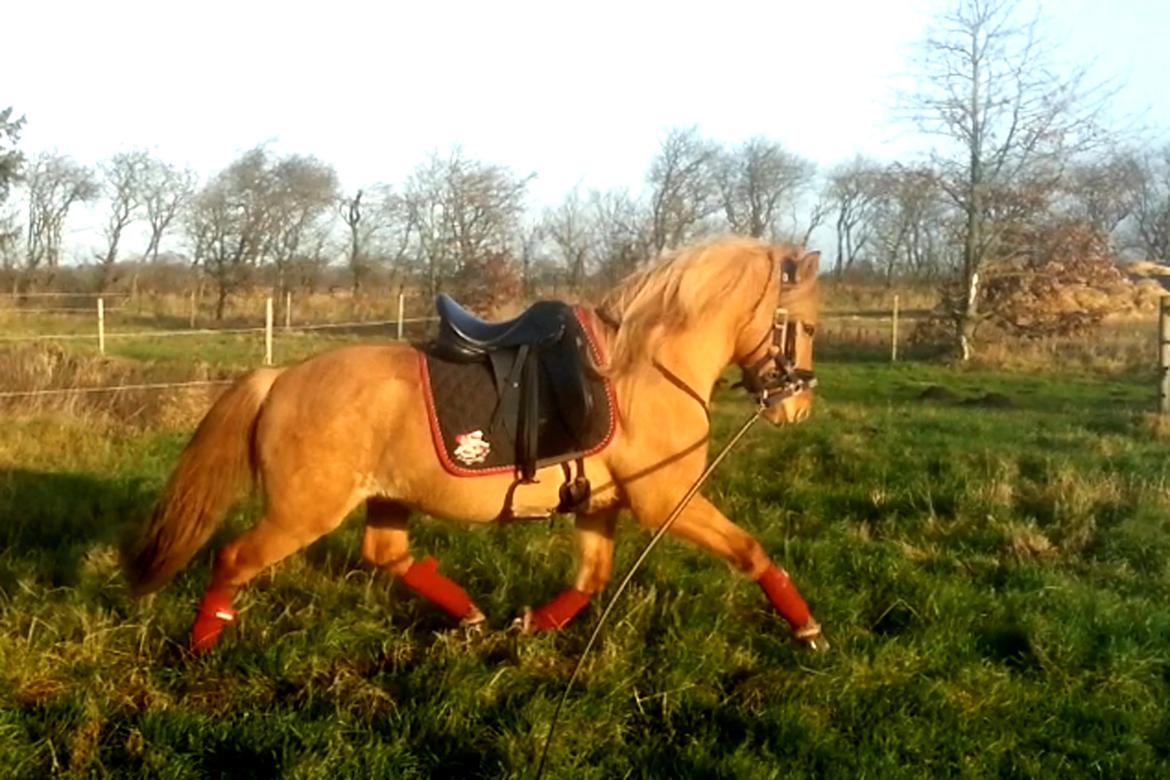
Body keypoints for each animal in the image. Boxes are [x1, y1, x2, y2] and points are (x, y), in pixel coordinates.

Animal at [123, 235, 828, 654]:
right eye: (810, 326)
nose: (796, 407)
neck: (643, 368)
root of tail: (278, 379)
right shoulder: (666, 501)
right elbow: (751, 552)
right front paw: (807, 627)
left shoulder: (603, 504)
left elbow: (591, 578)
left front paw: (532, 626)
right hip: (304, 512)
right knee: (234, 558)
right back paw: (203, 639)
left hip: (384, 498)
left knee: (388, 556)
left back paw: (469, 617)